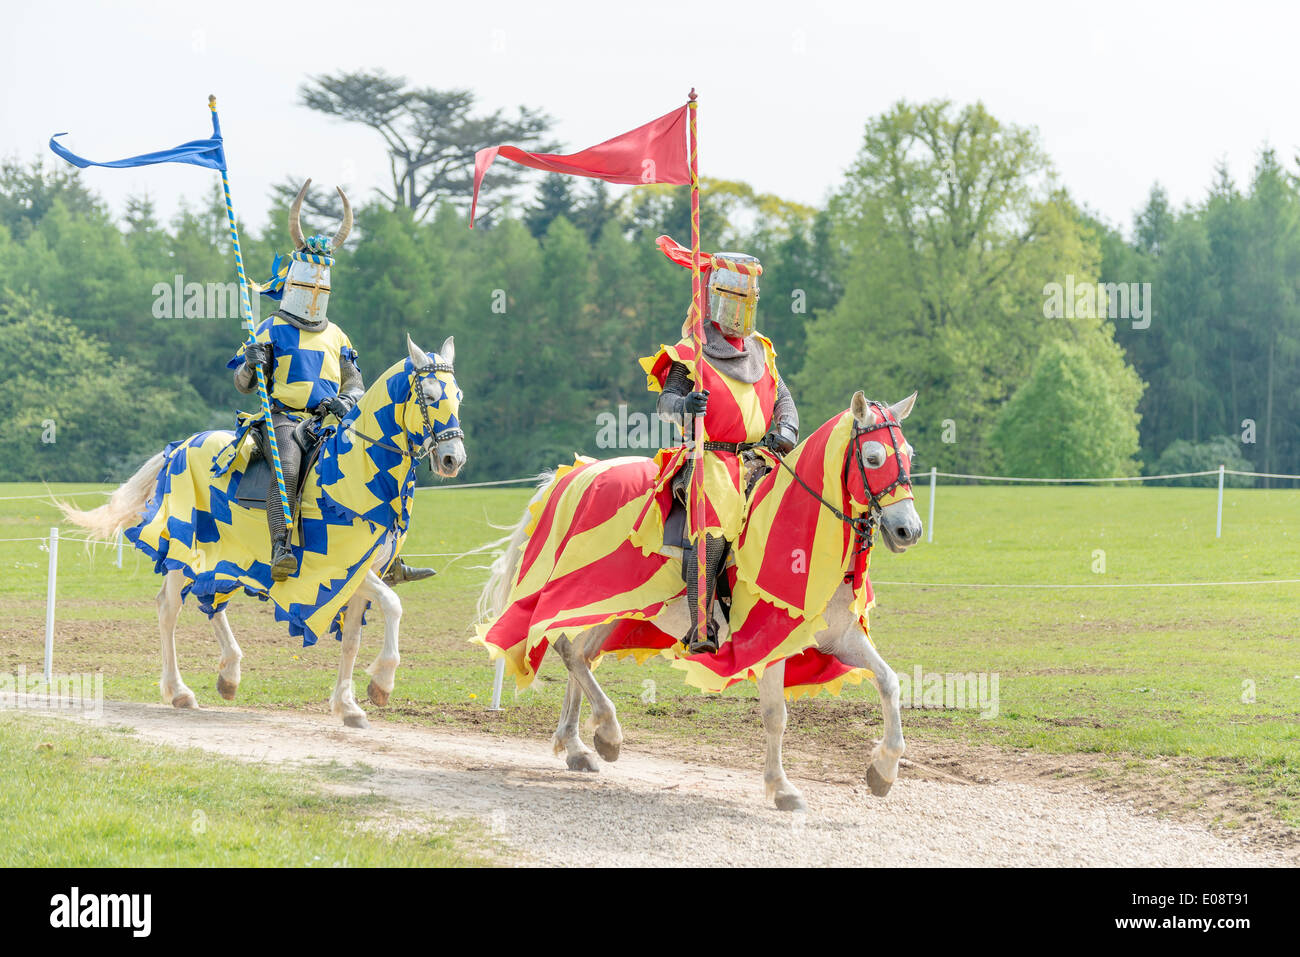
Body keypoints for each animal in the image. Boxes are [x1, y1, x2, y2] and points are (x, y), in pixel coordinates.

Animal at [62, 335, 467, 722]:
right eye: (431, 397)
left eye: (458, 396)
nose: (453, 460)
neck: (352, 475)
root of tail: (180, 447)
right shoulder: (338, 571)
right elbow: (394, 605)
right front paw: (382, 682)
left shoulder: (359, 575)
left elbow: (352, 638)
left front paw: (347, 705)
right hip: (185, 546)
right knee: (169, 607)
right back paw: (179, 691)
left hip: (223, 557)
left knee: (210, 600)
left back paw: (229, 674)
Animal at [480, 390, 925, 806]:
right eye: (872, 457)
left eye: (908, 456)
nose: (909, 531)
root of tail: (577, 473)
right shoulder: (767, 642)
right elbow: (776, 715)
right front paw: (781, 788)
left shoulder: (840, 637)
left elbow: (889, 683)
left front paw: (884, 769)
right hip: (590, 596)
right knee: (565, 648)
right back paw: (606, 732)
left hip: (614, 609)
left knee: (578, 656)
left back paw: (577, 746)